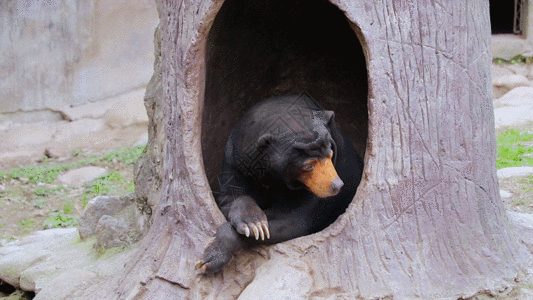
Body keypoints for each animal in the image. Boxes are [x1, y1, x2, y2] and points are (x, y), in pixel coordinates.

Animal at [195, 92, 362, 274]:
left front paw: (209, 260)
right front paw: (253, 223)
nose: (337, 186)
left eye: (330, 154)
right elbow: (229, 197)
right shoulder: (235, 158)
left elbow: (293, 220)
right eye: (308, 166)